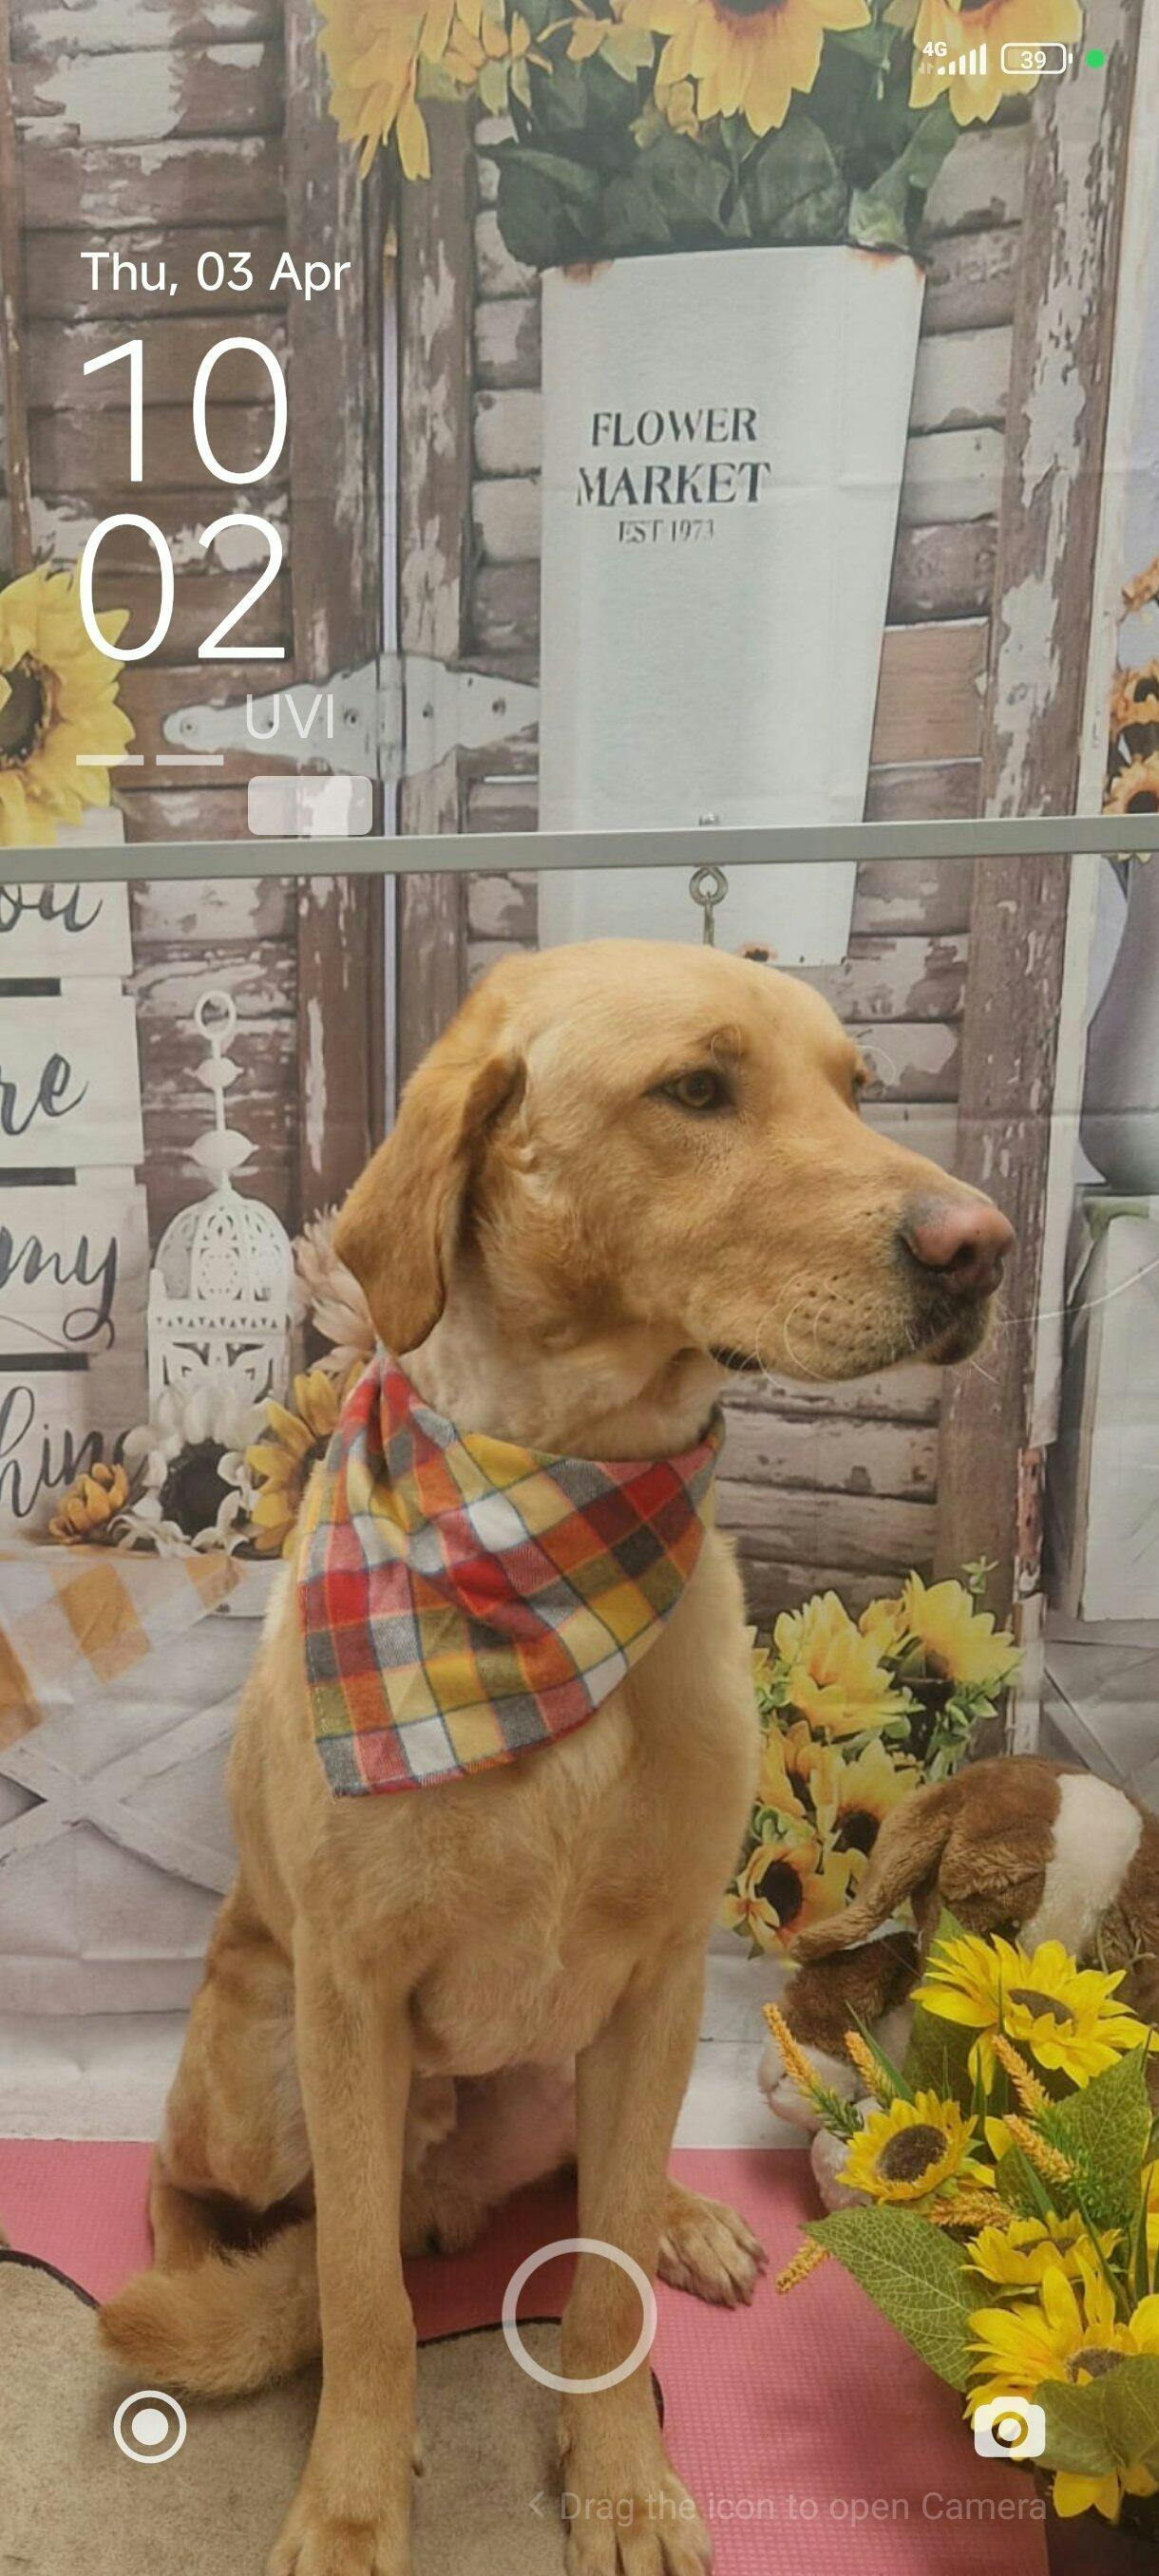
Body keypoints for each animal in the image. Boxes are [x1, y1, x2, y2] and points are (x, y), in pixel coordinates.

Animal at [100, 940, 1012, 2576]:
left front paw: (625, 2483)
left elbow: (603, 2291)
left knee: (606, 2190)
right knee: (202, 2189)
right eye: (696, 1089)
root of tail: (446, 2190)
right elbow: (364, 2308)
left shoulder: (660, 1982)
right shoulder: (351, 1997)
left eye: (857, 1088)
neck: (554, 1530)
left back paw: (682, 2222)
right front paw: (349, 2505)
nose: (986, 1248)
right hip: (263, 2073)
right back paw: (203, 2283)